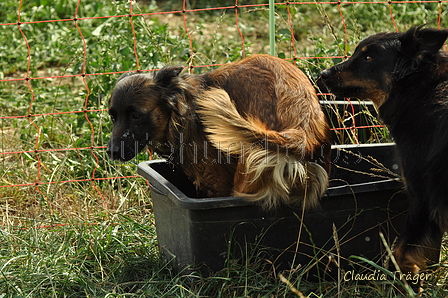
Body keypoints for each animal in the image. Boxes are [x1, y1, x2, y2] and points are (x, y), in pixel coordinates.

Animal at [107, 54, 332, 211]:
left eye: (136, 115)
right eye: (112, 117)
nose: (111, 152)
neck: (180, 112)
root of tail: (302, 130)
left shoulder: (217, 183)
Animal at [320, 26, 448, 280]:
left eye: (369, 57)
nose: (323, 73)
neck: (421, 88)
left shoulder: (423, 198)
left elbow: (400, 252)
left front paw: (407, 278)